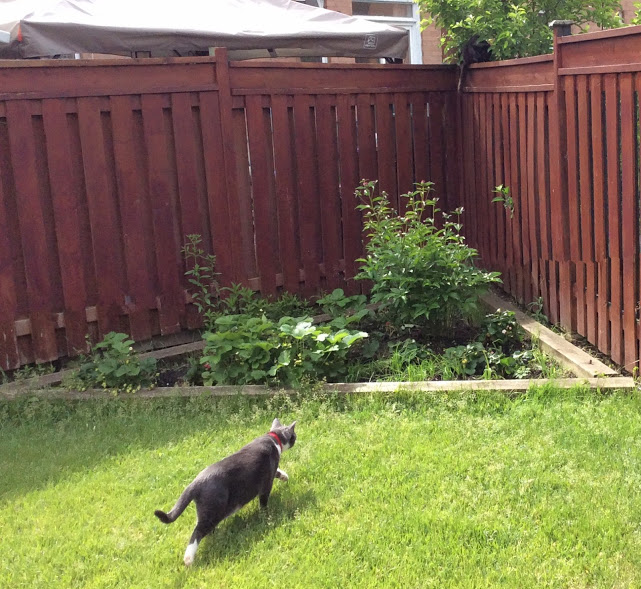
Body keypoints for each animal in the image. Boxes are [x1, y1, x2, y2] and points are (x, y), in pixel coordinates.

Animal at [154, 418, 297, 566]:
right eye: (294, 436)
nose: (295, 438)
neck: (272, 438)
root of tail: (195, 483)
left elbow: (278, 472)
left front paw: (284, 476)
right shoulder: (266, 481)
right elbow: (264, 501)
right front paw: (267, 516)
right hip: (213, 511)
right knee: (197, 532)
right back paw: (188, 559)